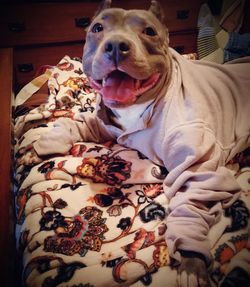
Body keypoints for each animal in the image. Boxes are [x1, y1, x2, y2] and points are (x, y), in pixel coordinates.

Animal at [33, 0, 250, 287]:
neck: (140, 106)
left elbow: (193, 198)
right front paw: (45, 142)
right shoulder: (103, 122)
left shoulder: (194, 161)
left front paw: (192, 264)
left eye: (149, 31)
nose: (116, 45)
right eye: (97, 28)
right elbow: (75, 123)